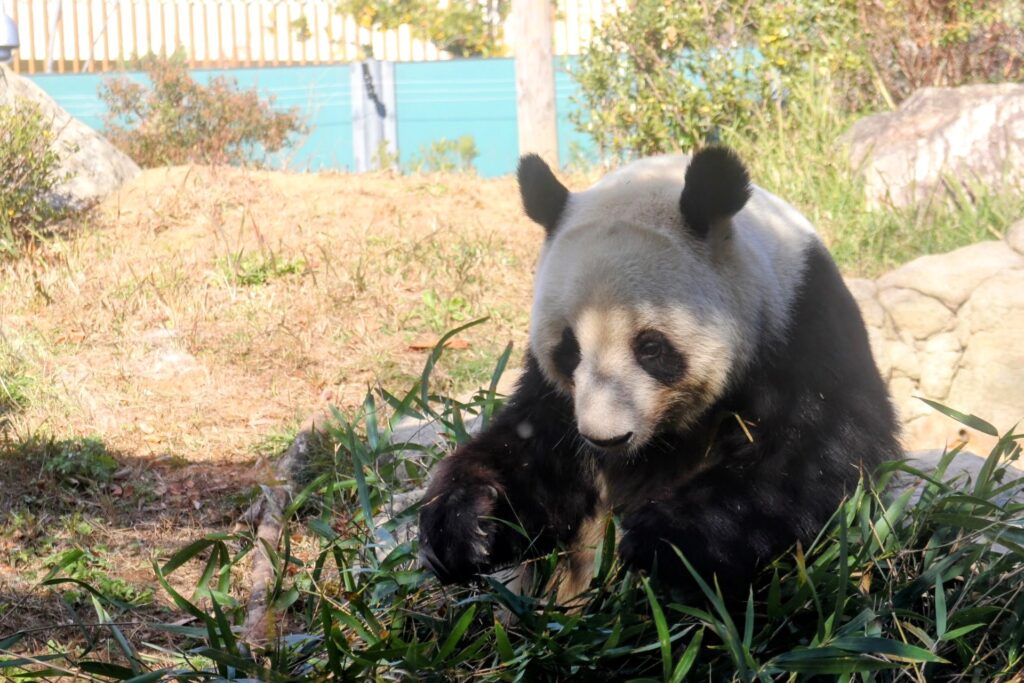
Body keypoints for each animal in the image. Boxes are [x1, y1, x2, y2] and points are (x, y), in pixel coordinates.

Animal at [415, 147, 897, 602]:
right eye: (570, 350)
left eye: (650, 347)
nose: (606, 438)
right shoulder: (555, 396)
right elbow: (532, 452)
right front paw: (466, 525)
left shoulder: (802, 324)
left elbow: (813, 458)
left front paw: (661, 539)